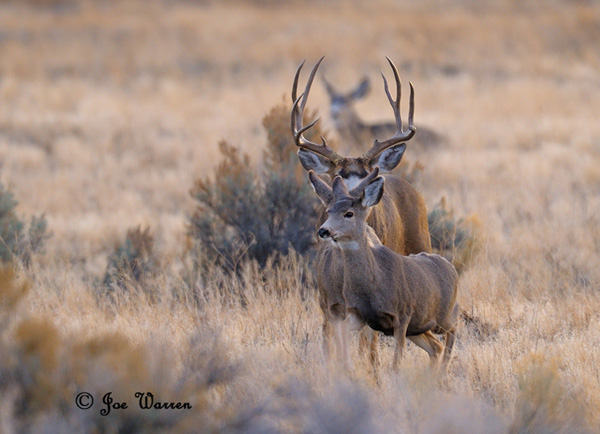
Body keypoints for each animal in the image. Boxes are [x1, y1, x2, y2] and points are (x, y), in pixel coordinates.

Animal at [290, 56, 432, 366]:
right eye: (336, 177)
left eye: (367, 175)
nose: (354, 200)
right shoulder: (325, 299)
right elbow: (329, 342)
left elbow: (369, 344)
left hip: (421, 243)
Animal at [310, 170, 460, 370]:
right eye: (328, 211)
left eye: (349, 213)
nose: (323, 230)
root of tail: (451, 267)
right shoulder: (356, 314)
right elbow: (342, 333)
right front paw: (347, 366)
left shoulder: (403, 315)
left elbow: (396, 361)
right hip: (419, 326)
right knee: (436, 346)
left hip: (440, 317)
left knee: (453, 328)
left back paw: (443, 370)